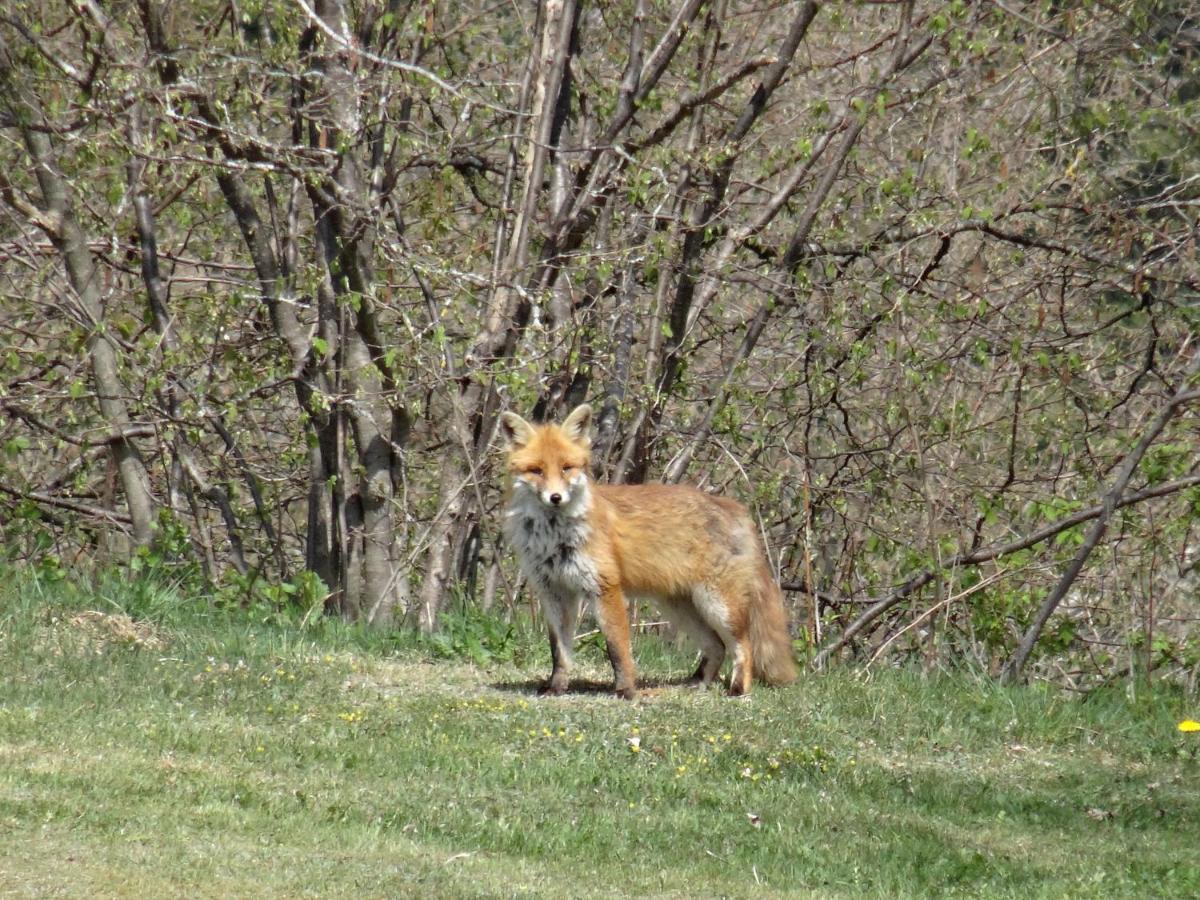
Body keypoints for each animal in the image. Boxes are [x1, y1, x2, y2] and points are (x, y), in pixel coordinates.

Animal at [499, 403, 796, 705]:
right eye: (536, 470)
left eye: (566, 468)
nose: (556, 498)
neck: (554, 537)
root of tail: (734, 507)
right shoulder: (554, 592)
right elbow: (560, 653)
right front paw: (556, 688)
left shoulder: (605, 588)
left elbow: (618, 650)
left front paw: (627, 692)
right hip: (681, 608)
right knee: (716, 647)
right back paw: (695, 684)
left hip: (717, 605)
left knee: (743, 645)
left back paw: (738, 690)